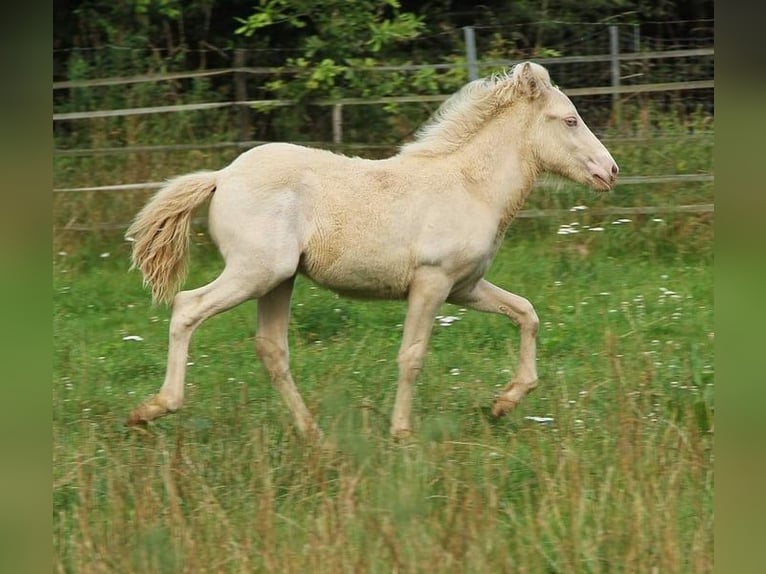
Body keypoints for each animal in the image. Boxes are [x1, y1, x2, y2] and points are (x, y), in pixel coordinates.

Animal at [124, 62, 616, 440]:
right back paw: (153, 409)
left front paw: (504, 403)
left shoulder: (464, 287)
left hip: (279, 280)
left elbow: (526, 313)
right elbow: (412, 356)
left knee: (272, 349)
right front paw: (401, 433)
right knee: (188, 306)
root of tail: (222, 176)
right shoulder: (432, 282)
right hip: (256, 272)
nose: (610, 170)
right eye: (570, 120)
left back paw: (313, 434)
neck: (470, 186)